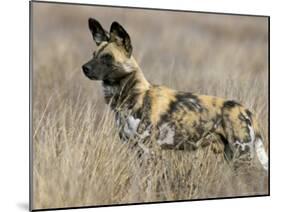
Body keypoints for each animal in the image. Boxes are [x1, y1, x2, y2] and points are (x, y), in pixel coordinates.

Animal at [81, 18, 266, 171]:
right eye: (93, 55)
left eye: (107, 57)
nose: (84, 68)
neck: (132, 96)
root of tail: (247, 111)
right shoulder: (136, 150)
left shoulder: (149, 150)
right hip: (232, 158)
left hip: (242, 157)